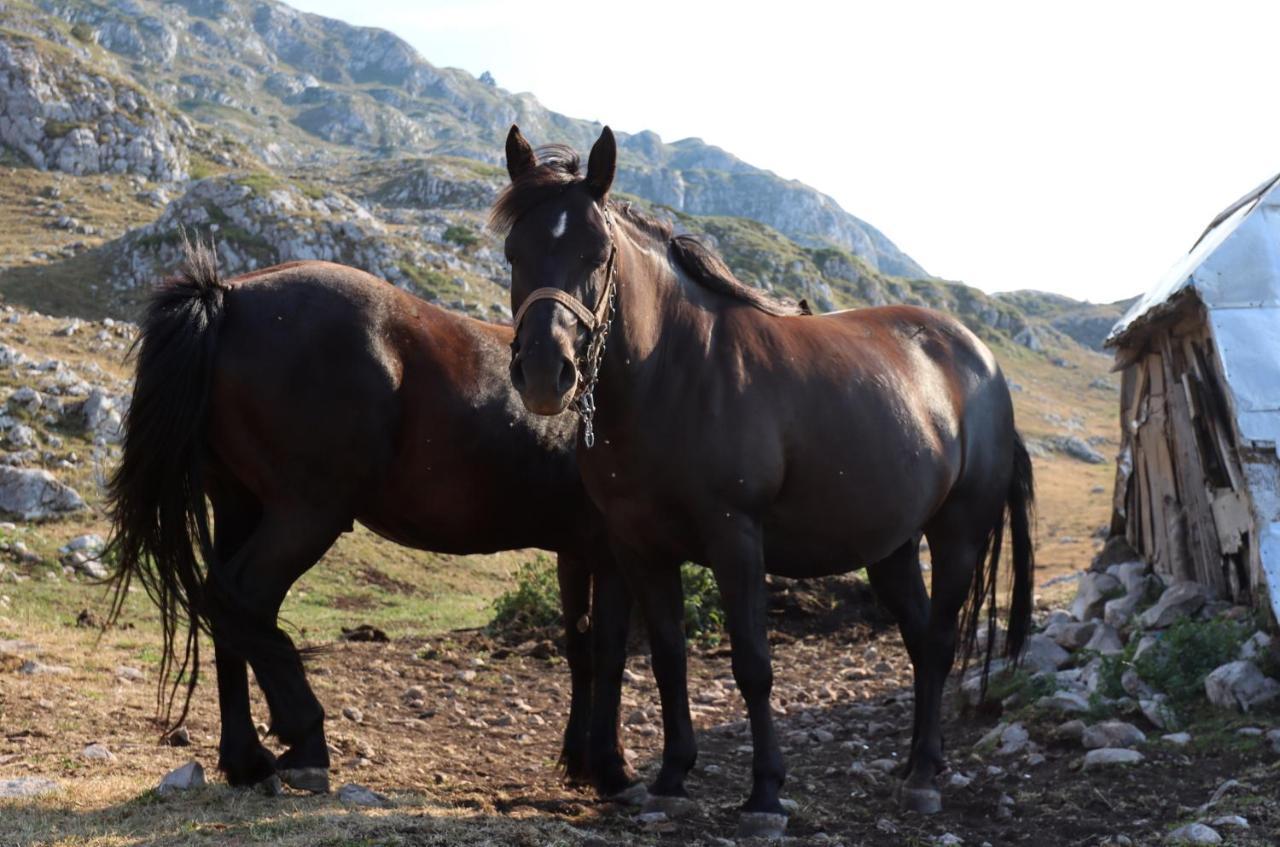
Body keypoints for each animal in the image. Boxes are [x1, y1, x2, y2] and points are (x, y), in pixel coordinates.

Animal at [104, 241, 634, 798]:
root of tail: (225, 296)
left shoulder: (576, 552)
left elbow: (580, 646)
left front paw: (579, 760)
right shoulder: (616, 556)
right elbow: (609, 652)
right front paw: (611, 767)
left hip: (238, 504)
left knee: (228, 613)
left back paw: (246, 760)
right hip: (306, 516)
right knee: (242, 599)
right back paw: (305, 741)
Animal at [494, 126, 1034, 844]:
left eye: (598, 252)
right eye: (514, 251)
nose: (544, 373)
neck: (675, 371)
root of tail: (984, 362)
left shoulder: (735, 539)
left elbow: (752, 664)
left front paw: (766, 793)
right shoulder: (638, 548)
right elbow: (667, 657)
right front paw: (671, 778)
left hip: (958, 534)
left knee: (942, 641)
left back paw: (922, 774)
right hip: (889, 548)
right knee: (921, 641)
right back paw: (922, 761)